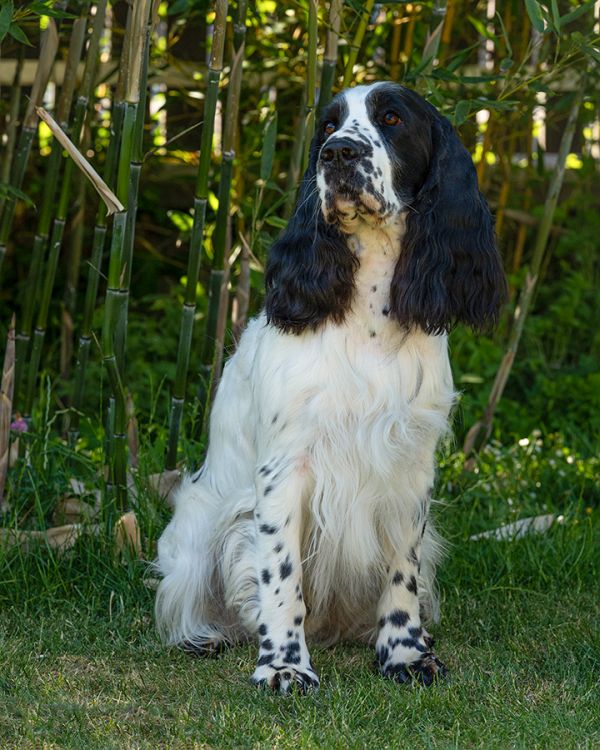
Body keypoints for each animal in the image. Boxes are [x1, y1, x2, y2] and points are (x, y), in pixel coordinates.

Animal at [156, 81, 506, 692]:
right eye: (326, 125)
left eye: (392, 118)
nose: (338, 153)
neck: (368, 312)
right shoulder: (284, 468)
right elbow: (281, 575)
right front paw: (283, 664)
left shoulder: (410, 469)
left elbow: (402, 573)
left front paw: (405, 654)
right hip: (198, 521)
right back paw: (204, 635)